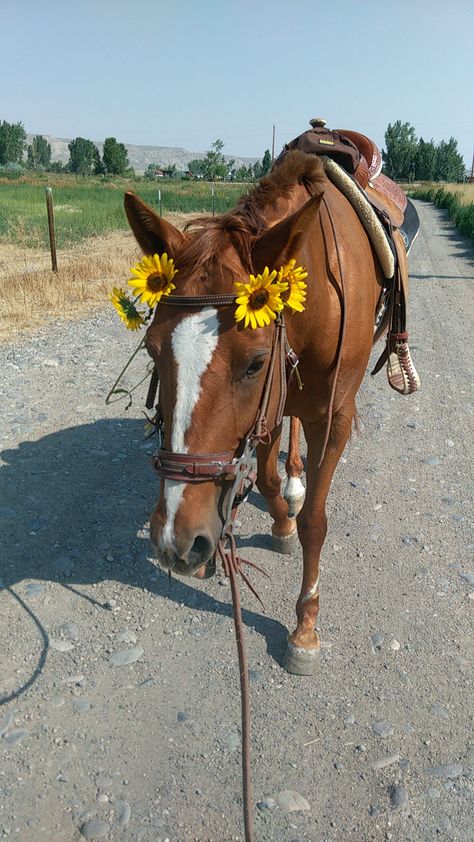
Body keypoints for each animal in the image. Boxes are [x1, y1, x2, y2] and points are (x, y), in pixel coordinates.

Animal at [124, 151, 390, 672]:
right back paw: (293, 480)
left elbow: (315, 522)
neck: (322, 296)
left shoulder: (334, 418)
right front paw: (281, 519)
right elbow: (266, 481)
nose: (175, 541)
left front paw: (305, 625)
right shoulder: (267, 412)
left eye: (255, 362)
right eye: (152, 350)